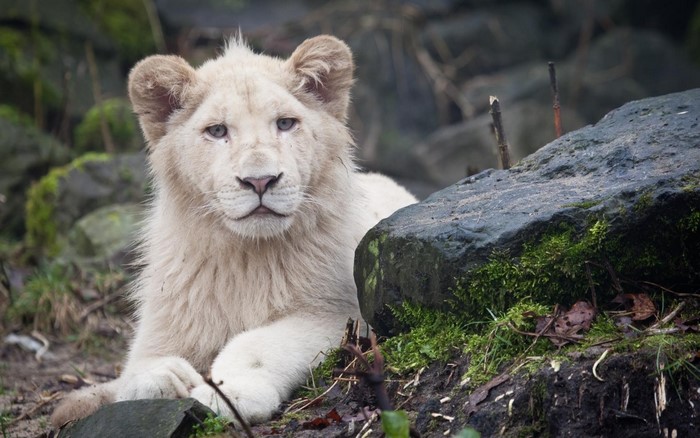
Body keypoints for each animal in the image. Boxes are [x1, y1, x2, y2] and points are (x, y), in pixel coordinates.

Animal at [51, 35, 416, 427]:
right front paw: (163, 376)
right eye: (217, 131)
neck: (244, 256)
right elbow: (136, 369)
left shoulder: (340, 314)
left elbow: (258, 343)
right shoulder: (165, 320)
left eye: (285, 123)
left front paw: (230, 391)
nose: (260, 180)